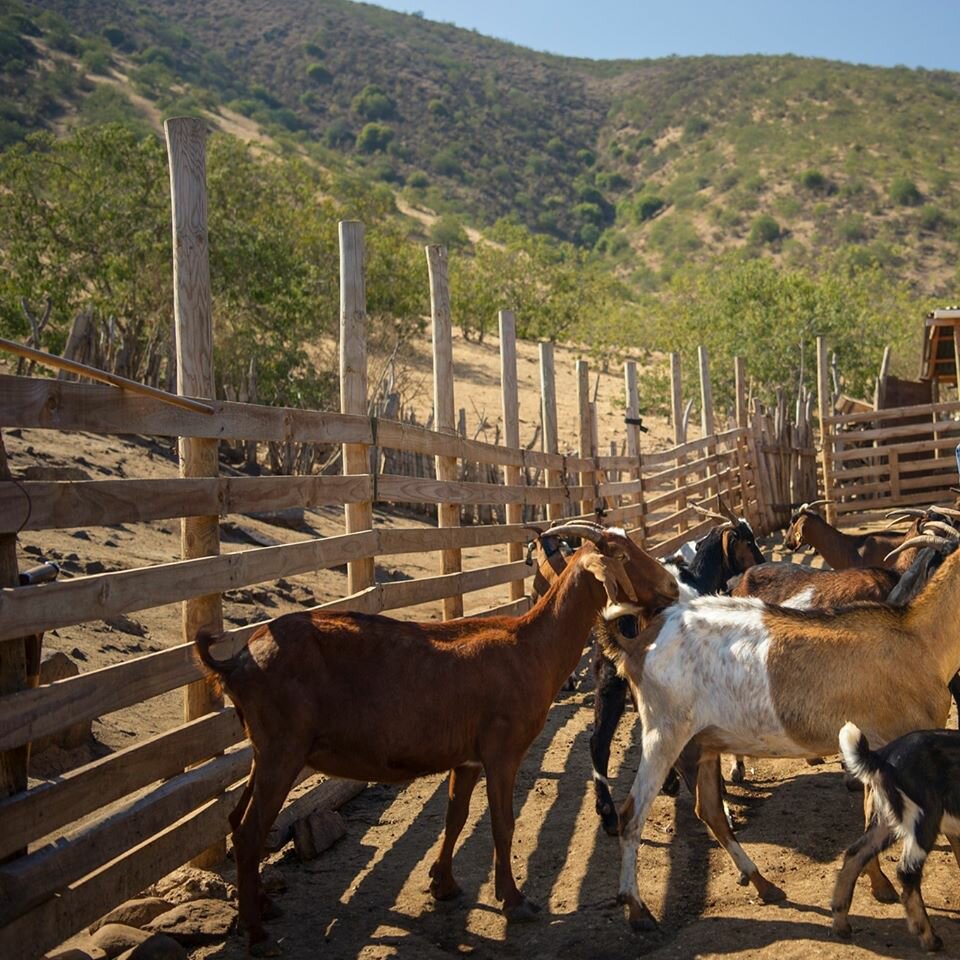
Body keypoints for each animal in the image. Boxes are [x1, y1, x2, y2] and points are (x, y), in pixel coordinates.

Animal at [195, 520, 680, 956]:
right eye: (622, 555)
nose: (672, 586)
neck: (529, 647)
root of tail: (238, 661)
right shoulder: (502, 753)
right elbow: (502, 823)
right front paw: (515, 901)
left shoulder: (466, 759)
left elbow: (456, 817)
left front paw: (443, 884)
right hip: (282, 751)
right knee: (250, 832)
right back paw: (258, 935)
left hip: (264, 752)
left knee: (237, 820)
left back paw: (264, 906)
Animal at [584, 516, 764, 832]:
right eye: (748, 539)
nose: (762, 561)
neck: (697, 579)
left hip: (610, 676)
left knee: (600, 741)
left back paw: (607, 813)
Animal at [828, 724, 960, 948]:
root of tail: (882, 757)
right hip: (924, 817)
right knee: (907, 871)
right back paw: (929, 938)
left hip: (886, 820)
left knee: (855, 853)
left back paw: (841, 924)